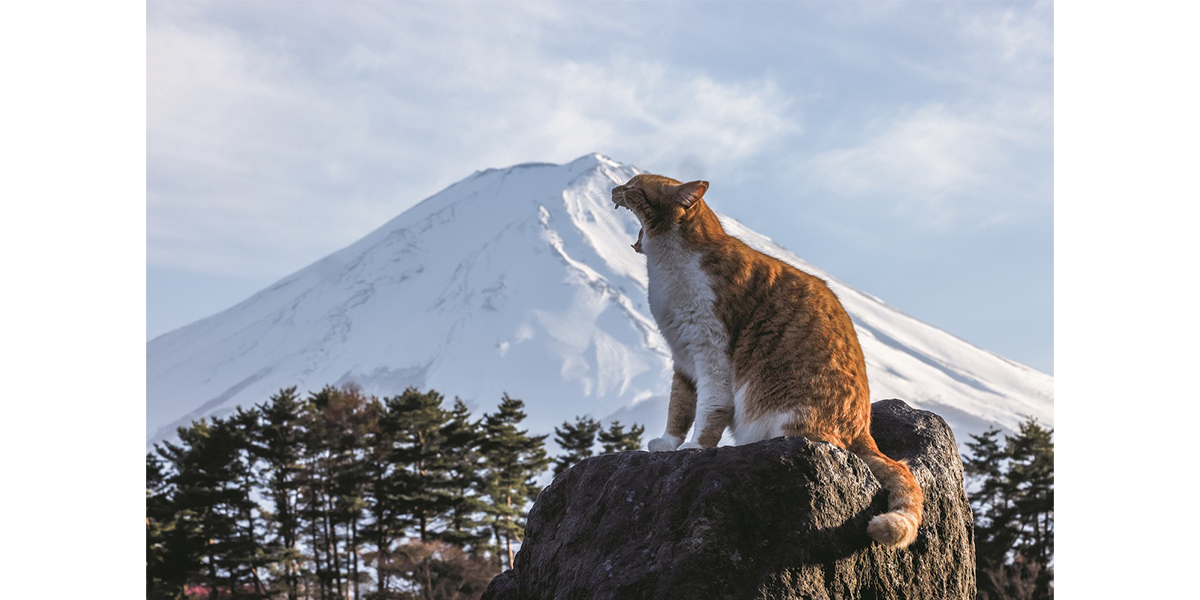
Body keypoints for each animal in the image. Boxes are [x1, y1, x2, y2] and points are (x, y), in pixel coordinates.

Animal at [614, 172, 921, 549]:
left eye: (635, 187)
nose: (614, 188)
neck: (666, 267)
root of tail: (864, 432)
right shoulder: (683, 359)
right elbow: (679, 407)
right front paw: (668, 444)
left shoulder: (711, 349)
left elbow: (709, 410)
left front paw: (696, 447)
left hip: (784, 410)